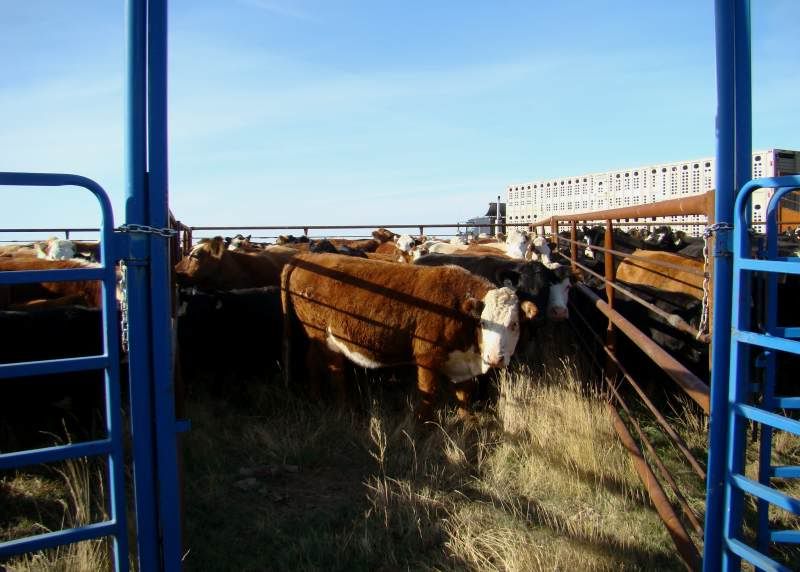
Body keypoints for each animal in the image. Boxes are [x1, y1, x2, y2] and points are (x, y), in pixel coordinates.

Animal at [280, 253, 538, 420]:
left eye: (514, 324)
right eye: (483, 323)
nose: (495, 358)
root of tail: (306, 258)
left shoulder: (463, 361)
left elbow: (464, 395)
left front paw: (467, 423)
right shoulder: (427, 357)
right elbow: (428, 394)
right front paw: (421, 428)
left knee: (318, 363)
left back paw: (323, 400)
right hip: (323, 335)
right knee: (331, 369)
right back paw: (340, 407)